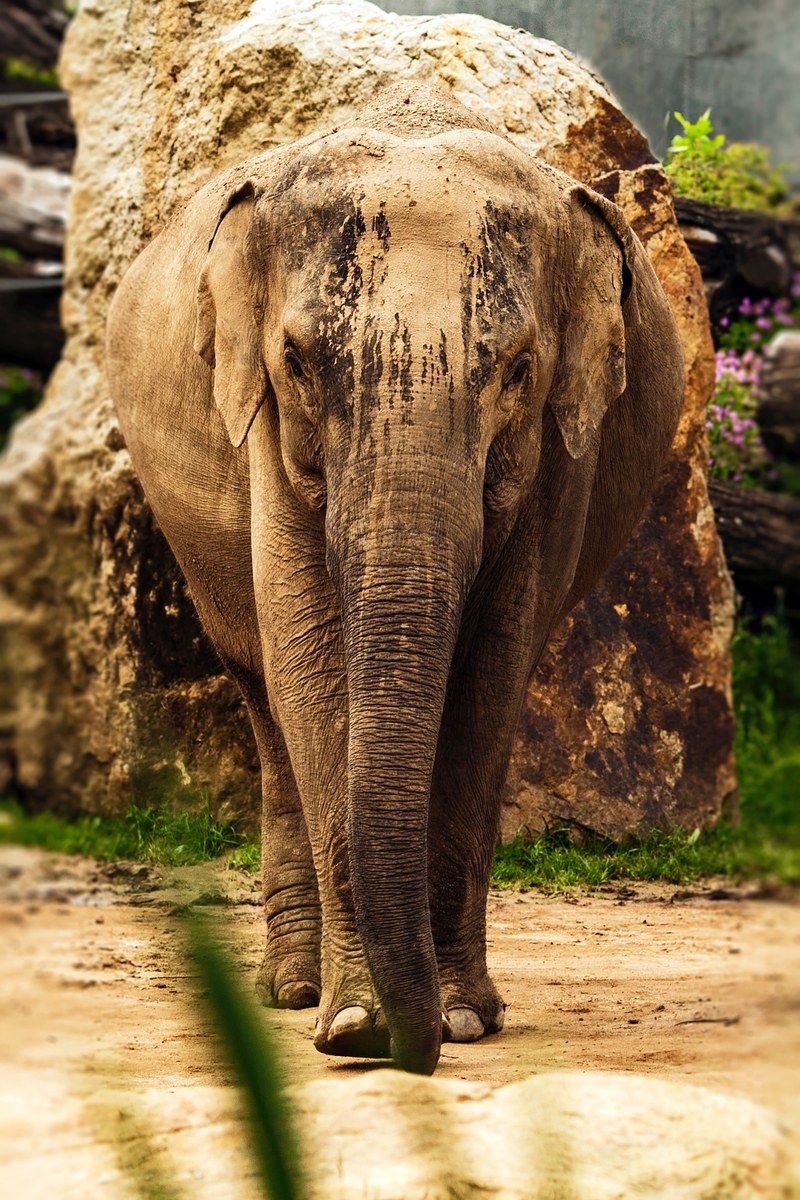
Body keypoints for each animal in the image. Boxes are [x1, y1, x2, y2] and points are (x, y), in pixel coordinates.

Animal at [106, 83, 683, 1075]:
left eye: (519, 369)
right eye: (298, 362)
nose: (412, 1050)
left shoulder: (559, 451)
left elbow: (492, 672)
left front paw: (457, 1020)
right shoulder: (264, 422)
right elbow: (307, 655)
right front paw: (355, 1027)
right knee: (265, 698)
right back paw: (293, 990)